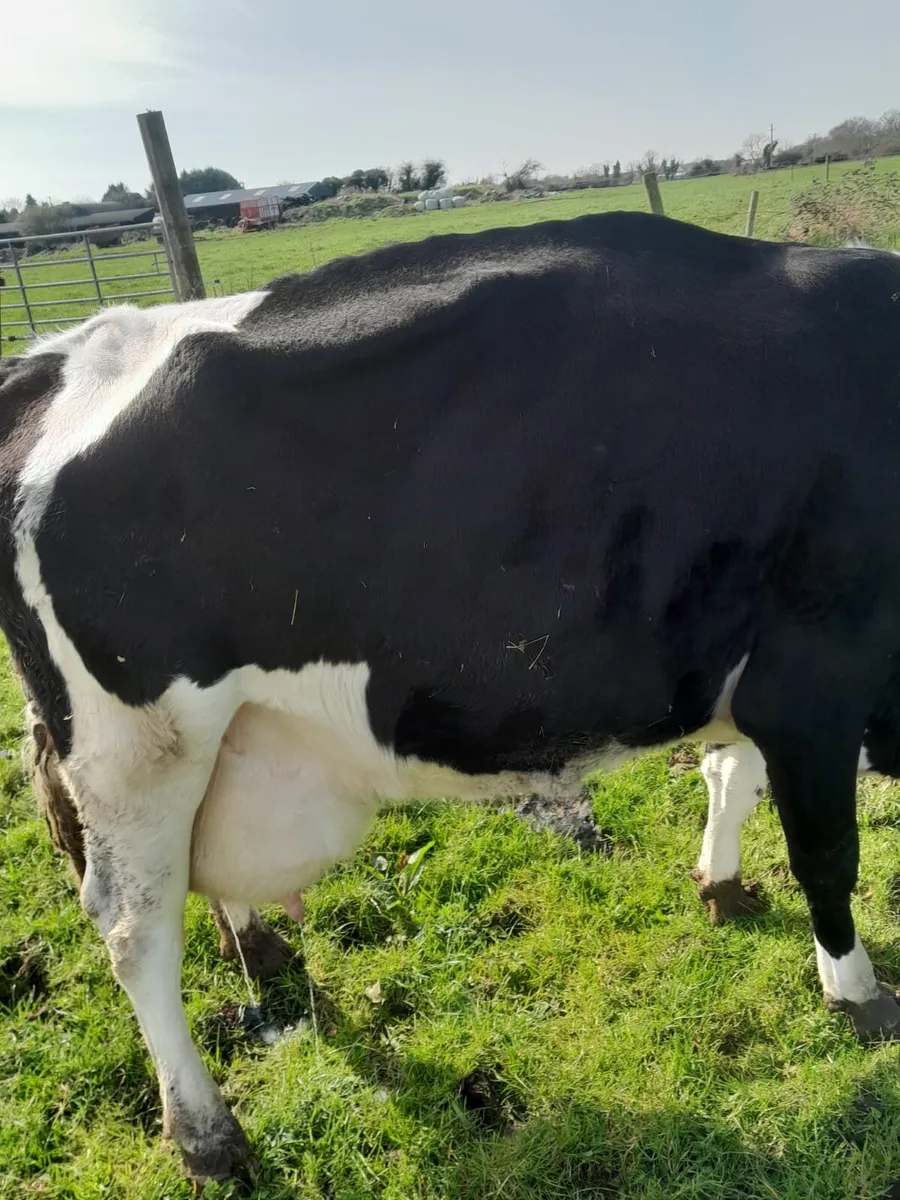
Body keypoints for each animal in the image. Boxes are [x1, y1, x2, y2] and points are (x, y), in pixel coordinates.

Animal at [2, 210, 900, 1184]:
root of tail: (57, 358)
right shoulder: (813, 680)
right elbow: (825, 853)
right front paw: (856, 990)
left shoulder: (755, 666)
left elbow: (730, 777)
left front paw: (723, 886)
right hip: (137, 747)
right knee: (136, 928)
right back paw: (207, 1135)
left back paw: (261, 950)